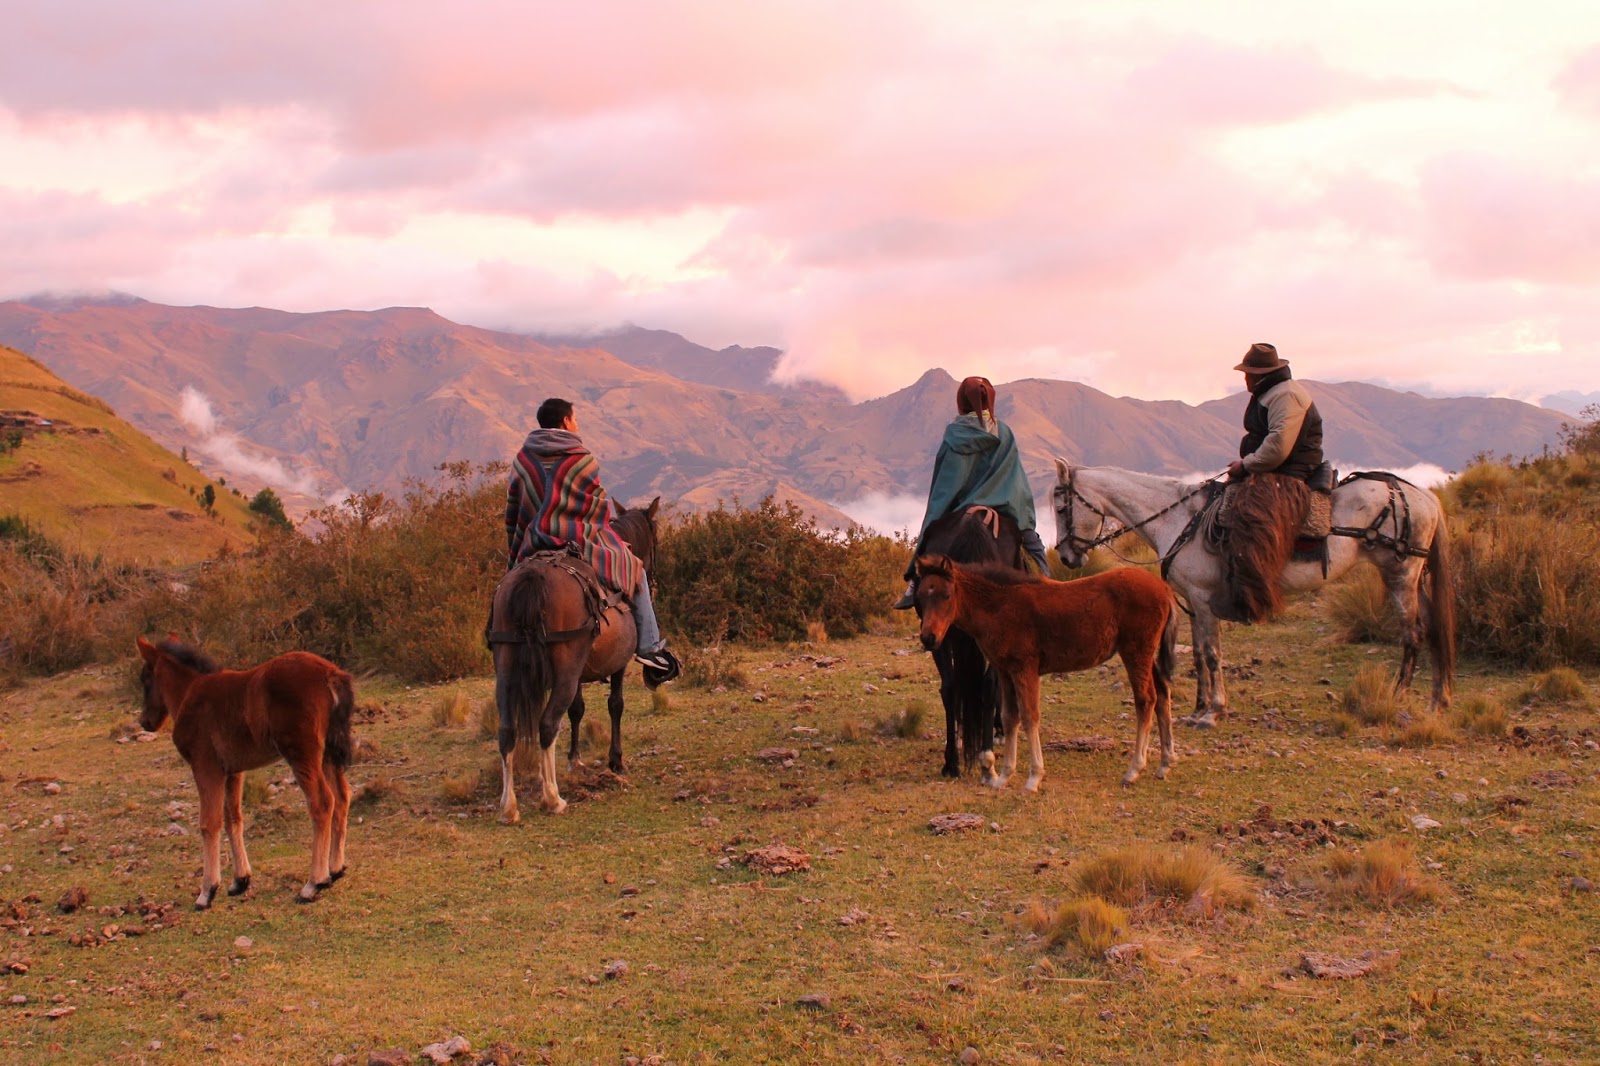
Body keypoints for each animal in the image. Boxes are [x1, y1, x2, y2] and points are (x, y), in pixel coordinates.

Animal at [135, 633, 356, 909]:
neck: (189, 693)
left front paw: (206, 892)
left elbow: (209, 823)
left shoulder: (205, 766)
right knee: (343, 796)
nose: (145, 722)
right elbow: (233, 819)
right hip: (327, 754)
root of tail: (331, 674)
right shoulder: (232, 771)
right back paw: (335, 870)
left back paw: (313, 884)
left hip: (302, 754)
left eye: (145, 679)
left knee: (323, 802)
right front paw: (240, 881)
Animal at [489, 492, 659, 816]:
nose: (652, 579)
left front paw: (574, 758)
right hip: (564, 670)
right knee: (546, 724)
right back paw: (552, 798)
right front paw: (616, 760)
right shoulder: (616, 664)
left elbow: (576, 709)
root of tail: (533, 576)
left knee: (506, 728)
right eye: (656, 539)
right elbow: (615, 705)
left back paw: (508, 805)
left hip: (507, 666)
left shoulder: (578, 671)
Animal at [915, 560, 1177, 784]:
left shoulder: (1025, 668)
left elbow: (1030, 716)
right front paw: (1004, 777)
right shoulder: (1005, 671)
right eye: (920, 598)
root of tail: (1165, 589)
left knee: (1146, 700)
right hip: (1147, 655)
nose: (929, 638)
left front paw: (1034, 777)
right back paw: (1165, 764)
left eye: (946, 595)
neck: (1001, 606)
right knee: (1163, 694)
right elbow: (1010, 717)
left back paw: (1134, 770)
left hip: (1136, 651)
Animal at [1049, 457, 1452, 723]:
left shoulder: (1203, 600)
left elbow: (1212, 654)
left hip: (1400, 572)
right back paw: (1439, 700)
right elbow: (1199, 653)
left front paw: (1214, 710)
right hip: (1416, 577)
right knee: (1434, 630)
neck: (1179, 519)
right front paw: (1198, 708)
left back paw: (1399, 697)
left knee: (1413, 634)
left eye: (1060, 505)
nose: (1067, 556)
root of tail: (1422, 496)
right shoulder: (1194, 601)